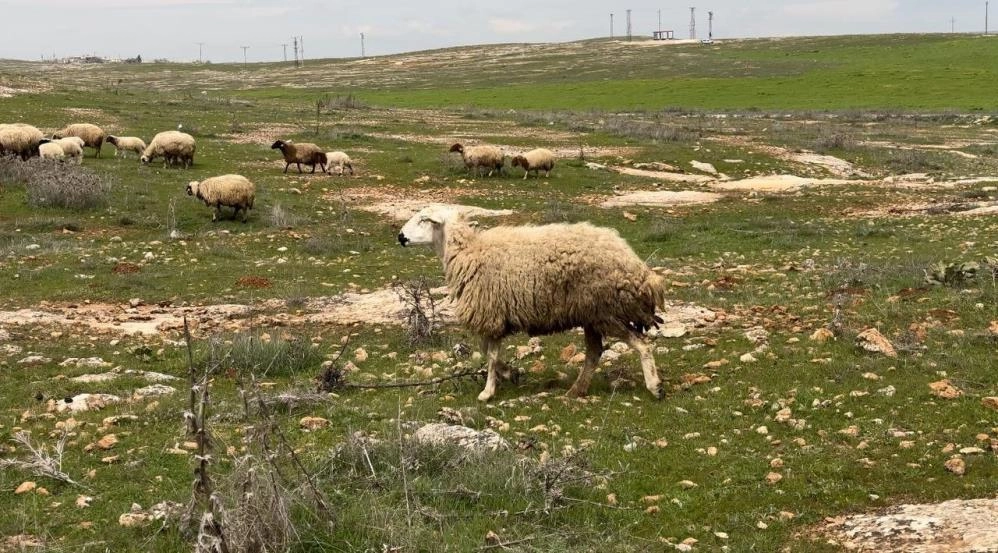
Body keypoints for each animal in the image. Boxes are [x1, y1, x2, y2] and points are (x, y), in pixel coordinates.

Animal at [400, 207, 672, 402]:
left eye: (424, 219)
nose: (400, 237)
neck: (469, 251)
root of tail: (639, 270)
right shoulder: (494, 317)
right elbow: (487, 352)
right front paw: (511, 373)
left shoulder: (492, 314)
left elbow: (490, 355)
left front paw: (488, 392)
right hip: (592, 315)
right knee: (594, 353)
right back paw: (576, 390)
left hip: (606, 311)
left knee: (641, 344)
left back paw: (655, 387)